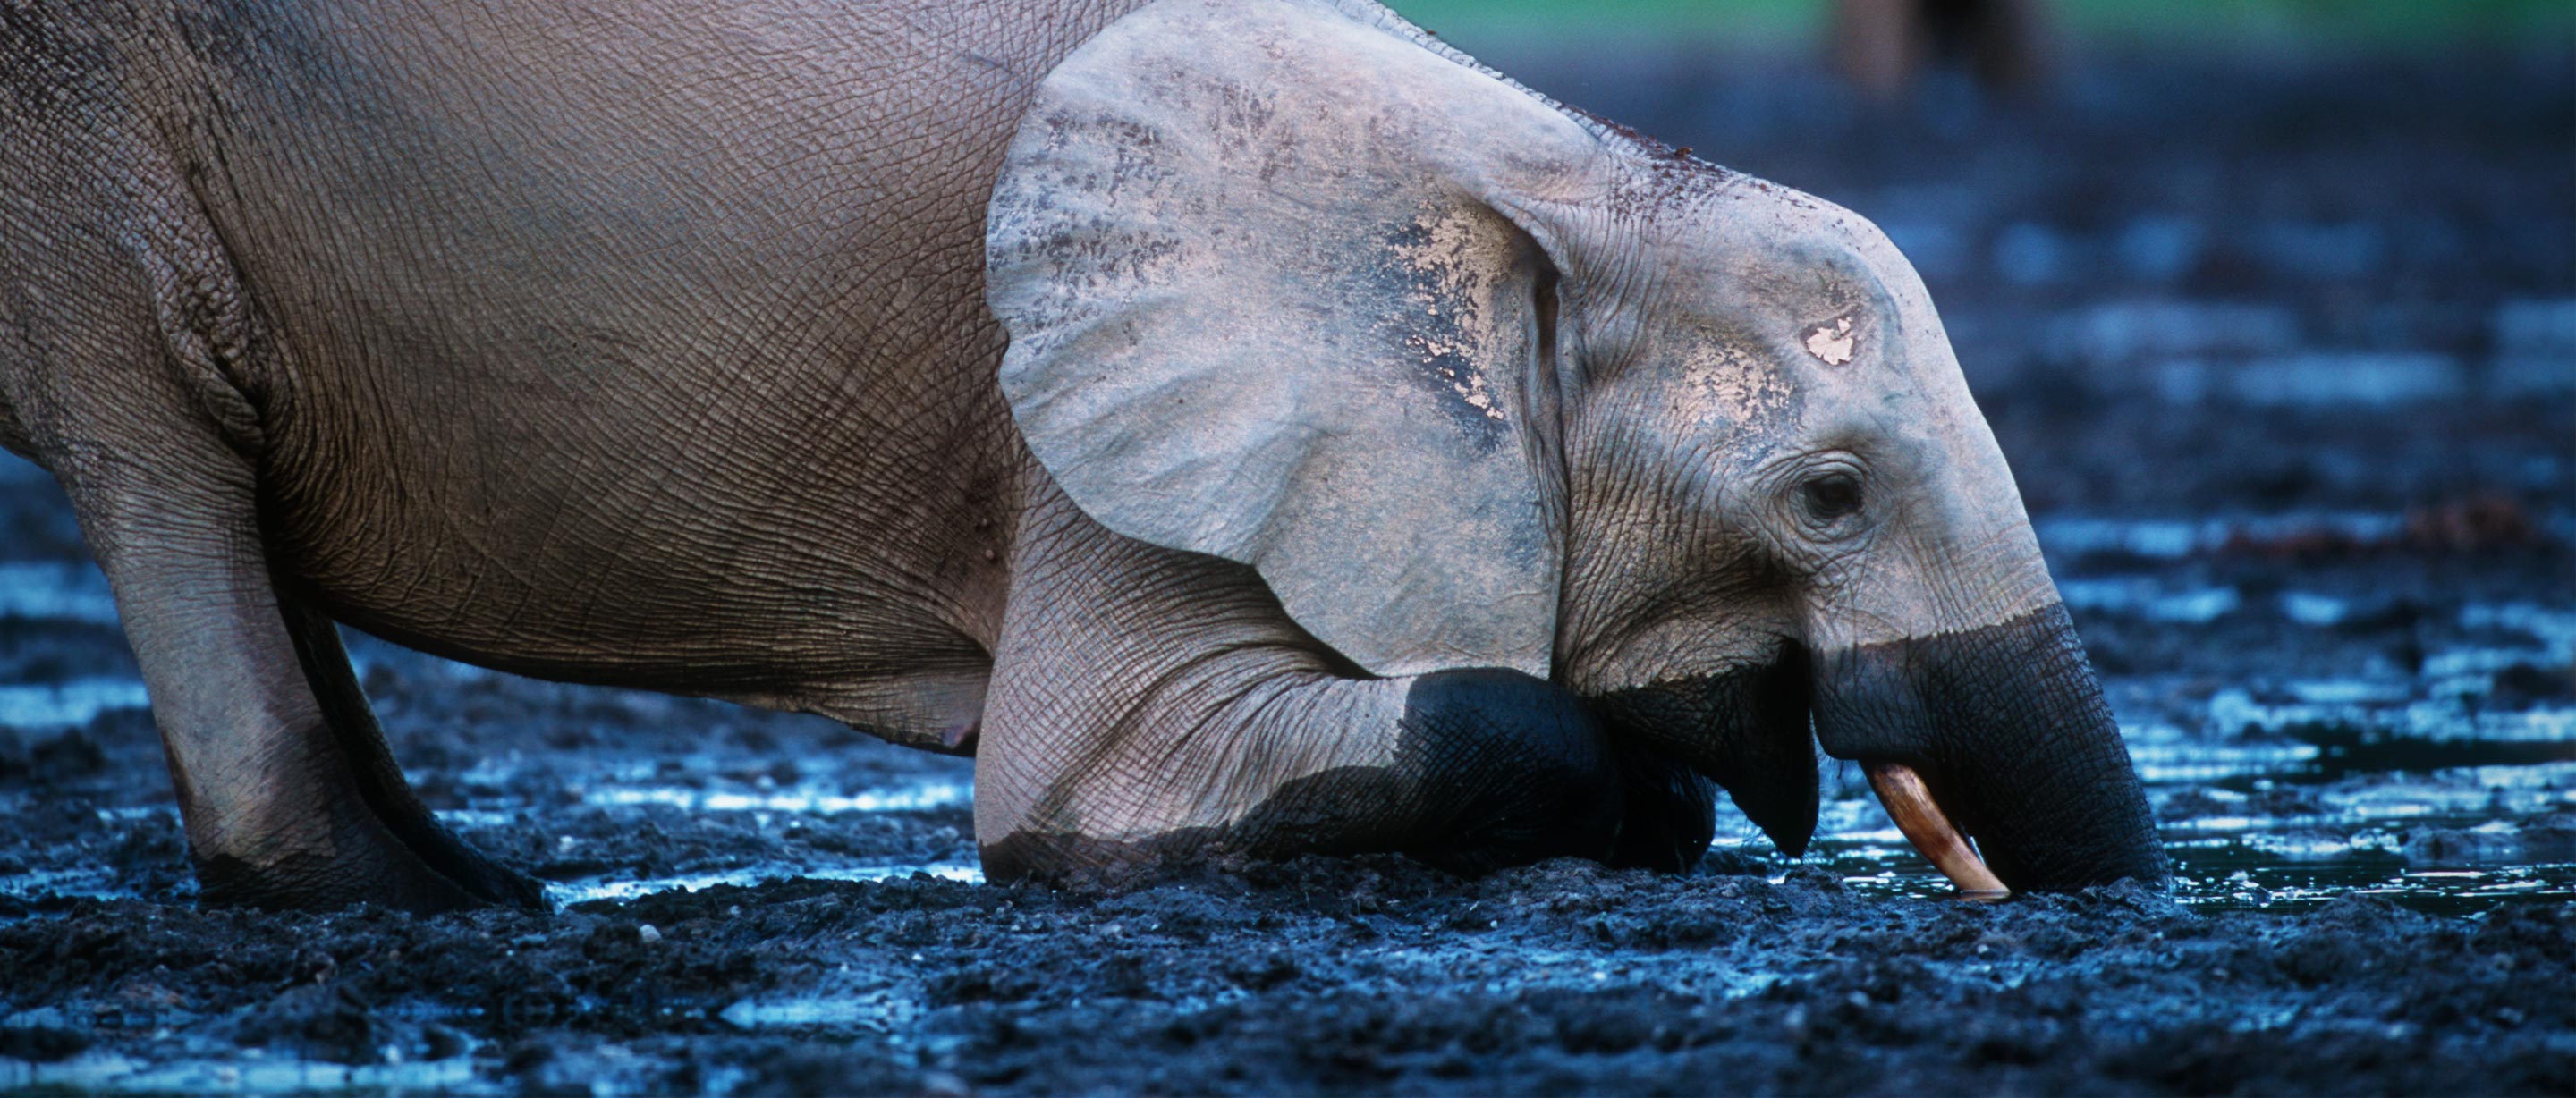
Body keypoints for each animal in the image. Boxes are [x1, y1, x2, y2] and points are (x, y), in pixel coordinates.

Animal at [0, 0, 2164, 907]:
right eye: (1827, 498)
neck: (1547, 167)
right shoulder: (1097, 448)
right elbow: (1094, 788)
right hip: (86, 159)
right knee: (159, 445)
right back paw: (382, 896)